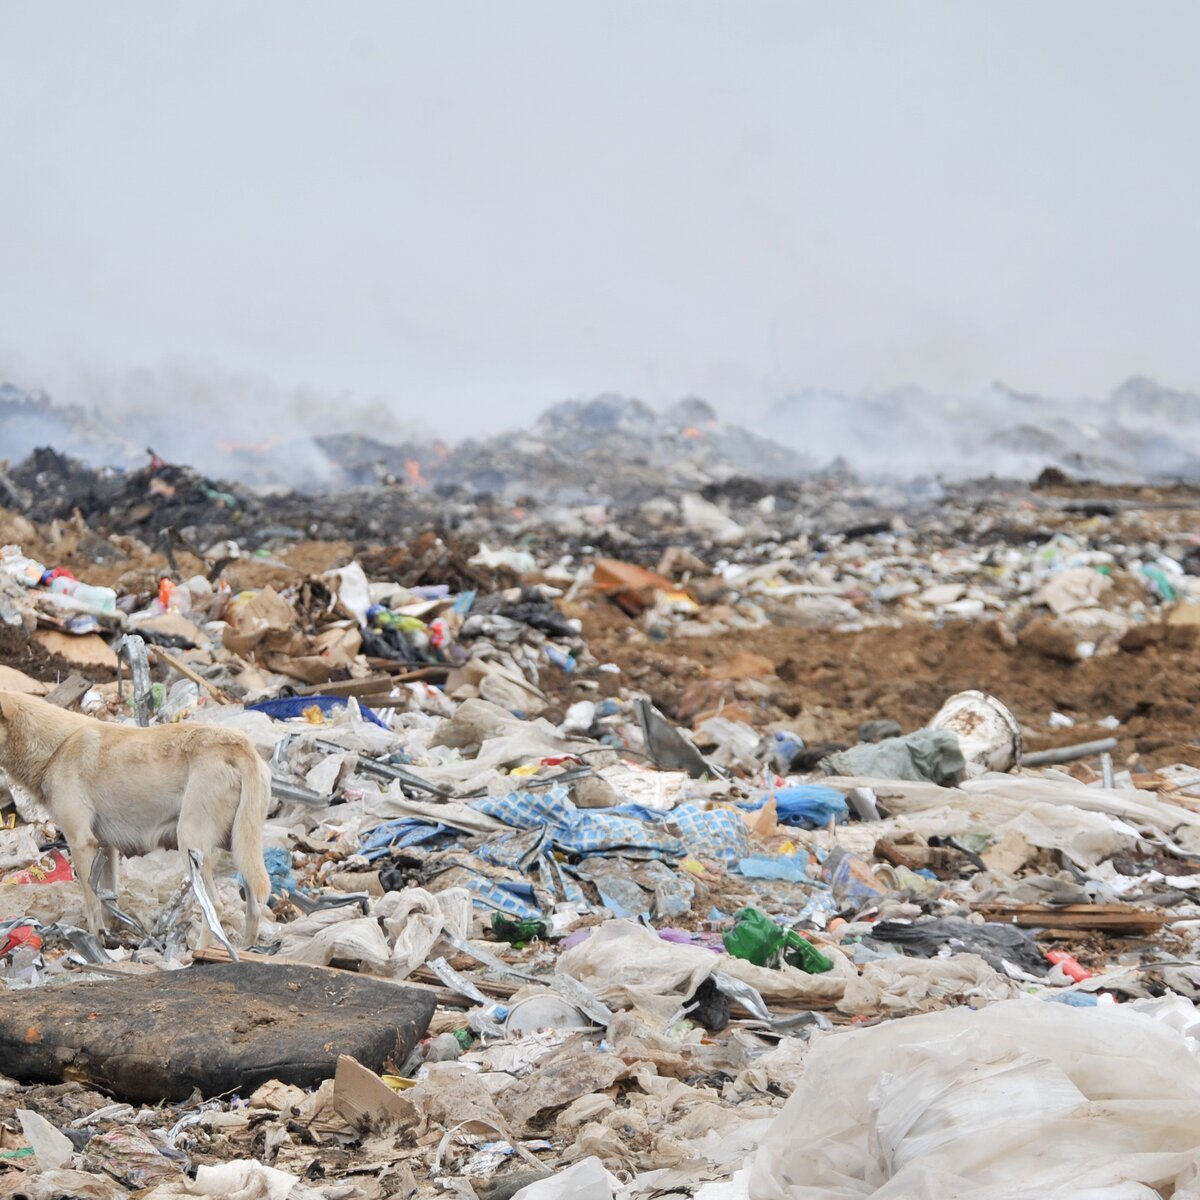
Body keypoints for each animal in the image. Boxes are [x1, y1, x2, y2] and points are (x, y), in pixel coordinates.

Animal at [0, 696, 271, 945]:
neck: (58, 747)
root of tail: (238, 744)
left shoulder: (80, 842)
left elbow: (92, 903)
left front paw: (96, 942)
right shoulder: (105, 848)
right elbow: (108, 897)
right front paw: (112, 935)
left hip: (191, 843)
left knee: (214, 905)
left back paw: (199, 954)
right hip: (240, 846)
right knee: (254, 909)